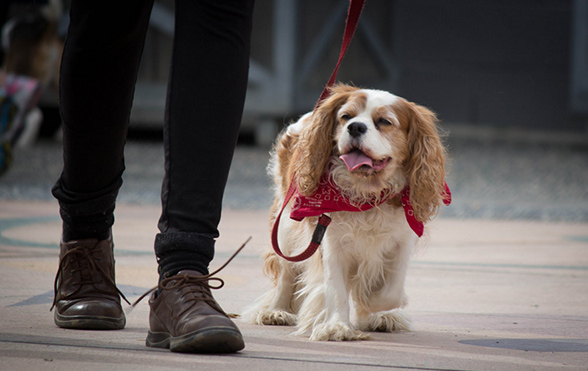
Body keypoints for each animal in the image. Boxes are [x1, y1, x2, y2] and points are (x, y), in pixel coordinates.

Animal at [242, 85, 450, 342]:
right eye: (346, 117)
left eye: (384, 121)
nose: (356, 127)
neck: (367, 194)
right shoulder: (330, 241)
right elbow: (336, 289)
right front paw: (337, 326)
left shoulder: (401, 240)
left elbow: (389, 289)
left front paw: (373, 306)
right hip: (286, 227)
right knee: (286, 274)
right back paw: (276, 311)